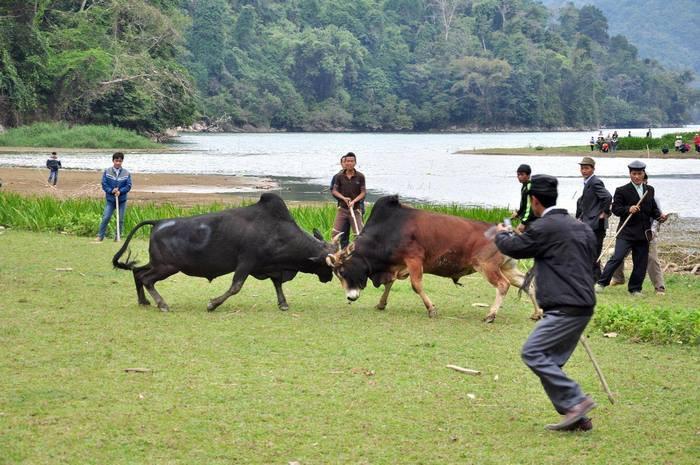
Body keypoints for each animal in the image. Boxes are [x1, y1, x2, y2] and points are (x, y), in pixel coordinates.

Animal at [112, 192, 336, 312]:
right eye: (326, 264)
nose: (329, 278)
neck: (278, 231)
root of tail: (158, 222)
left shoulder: (268, 266)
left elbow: (277, 283)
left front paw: (283, 304)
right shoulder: (246, 262)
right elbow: (235, 287)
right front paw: (212, 304)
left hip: (158, 263)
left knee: (137, 272)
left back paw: (144, 301)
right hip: (167, 267)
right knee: (146, 278)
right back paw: (162, 304)